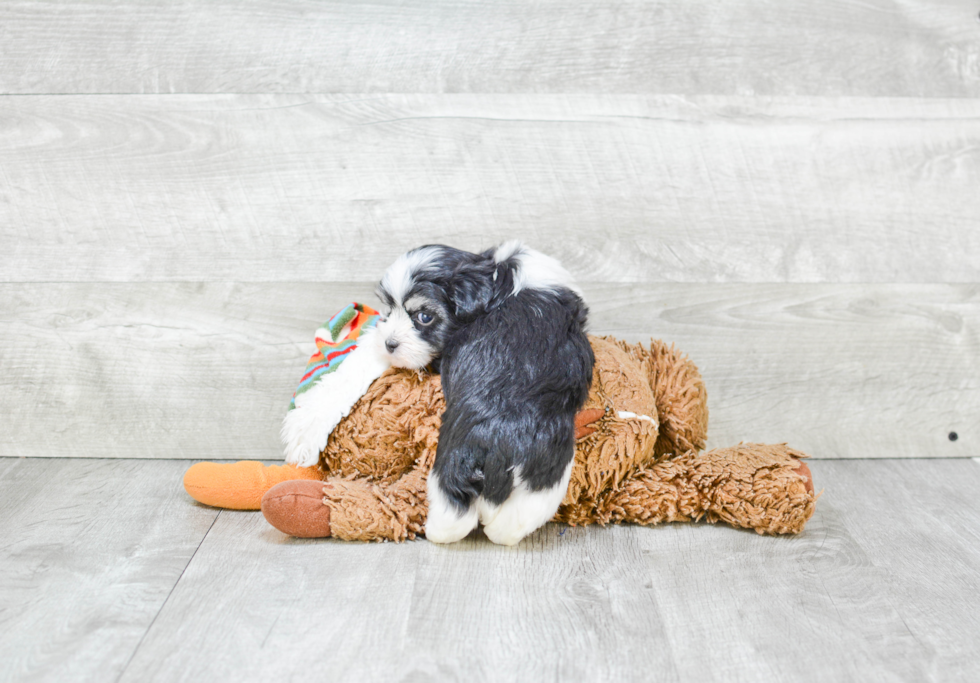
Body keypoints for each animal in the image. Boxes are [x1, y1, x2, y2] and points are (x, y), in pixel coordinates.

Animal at [374, 240, 588, 544]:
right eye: (389, 309)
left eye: (424, 317)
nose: (388, 344)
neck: (499, 277)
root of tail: (492, 449)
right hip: (547, 470)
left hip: (454, 465)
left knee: (453, 507)